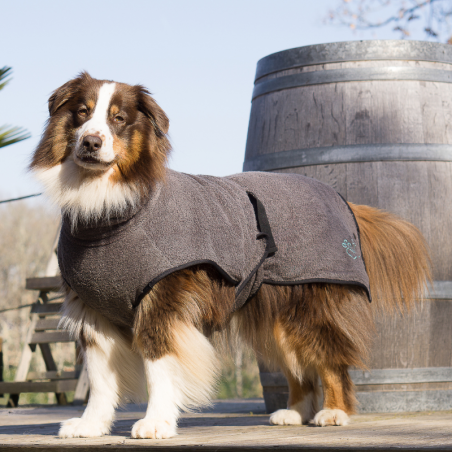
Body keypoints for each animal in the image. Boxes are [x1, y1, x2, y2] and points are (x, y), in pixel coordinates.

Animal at [30, 73, 432, 438]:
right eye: (82, 113)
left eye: (118, 118)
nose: (91, 142)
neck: (111, 211)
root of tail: (339, 198)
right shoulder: (93, 308)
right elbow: (99, 377)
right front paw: (90, 425)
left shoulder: (164, 299)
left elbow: (158, 364)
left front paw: (156, 423)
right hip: (277, 312)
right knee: (296, 363)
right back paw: (294, 412)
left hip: (311, 303)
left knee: (330, 358)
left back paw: (334, 412)